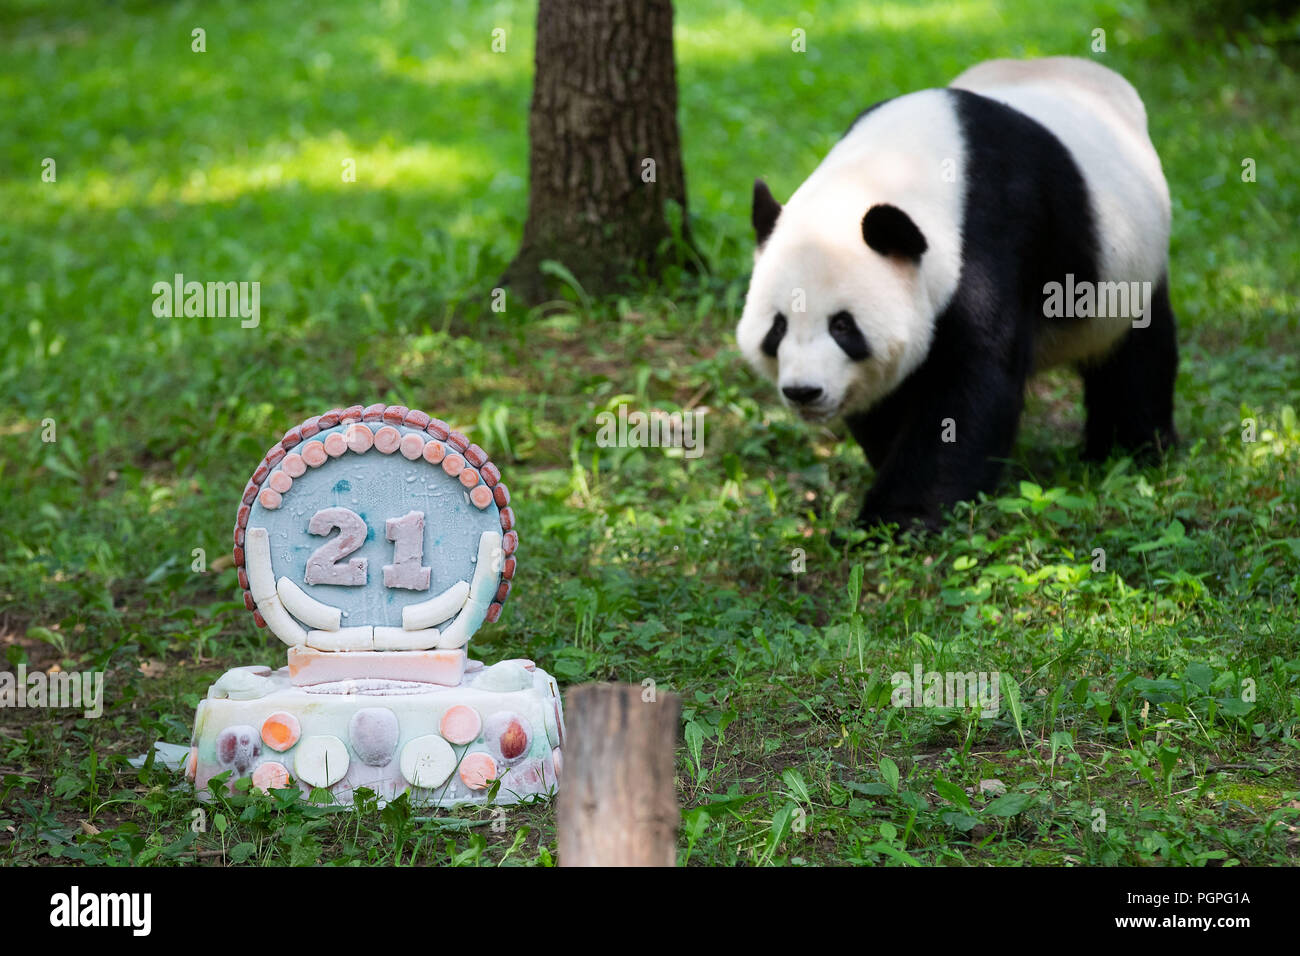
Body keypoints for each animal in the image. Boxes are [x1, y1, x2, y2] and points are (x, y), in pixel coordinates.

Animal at [743, 55, 1180, 530]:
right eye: (777, 328)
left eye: (842, 326)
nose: (803, 392)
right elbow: (889, 394)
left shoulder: (993, 236)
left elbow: (971, 385)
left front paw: (896, 519)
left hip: (1126, 269)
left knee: (1136, 355)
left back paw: (1129, 450)